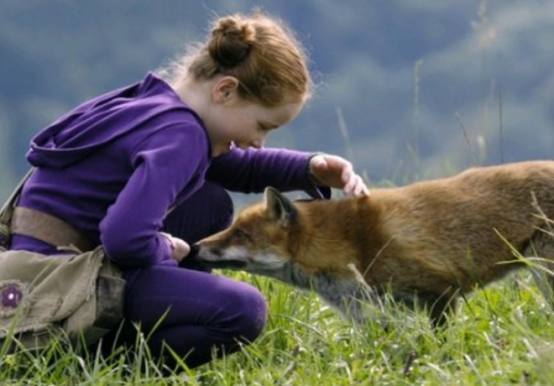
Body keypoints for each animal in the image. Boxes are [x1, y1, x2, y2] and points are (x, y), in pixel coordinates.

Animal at [192, 160, 552, 326]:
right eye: (232, 227)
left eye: (241, 233)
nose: (194, 247)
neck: (351, 243)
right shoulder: (370, 317)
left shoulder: (439, 292)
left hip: (543, 271)